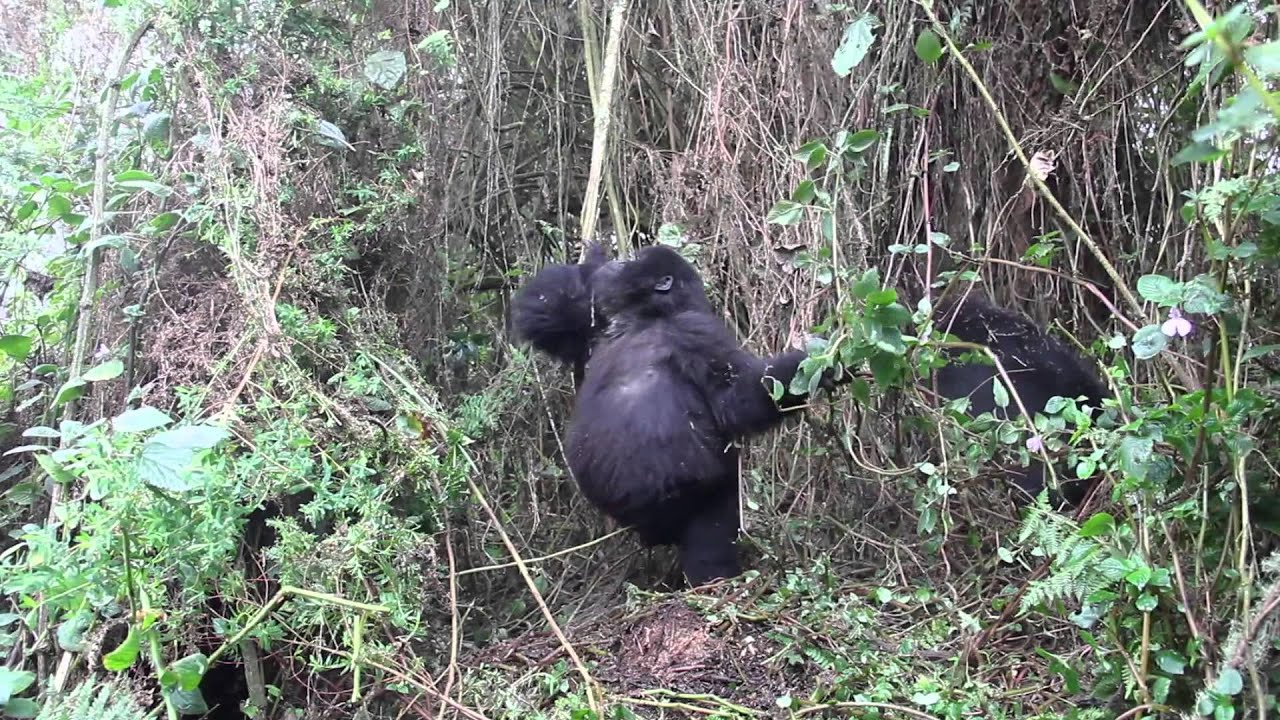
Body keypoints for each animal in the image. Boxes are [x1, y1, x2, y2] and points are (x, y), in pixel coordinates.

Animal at [509, 240, 839, 584]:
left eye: (632, 261)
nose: (617, 263)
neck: (649, 316)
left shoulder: (694, 329)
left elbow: (738, 396)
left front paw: (816, 364)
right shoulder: (598, 325)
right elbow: (544, 310)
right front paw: (593, 260)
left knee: (712, 526)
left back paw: (711, 579)